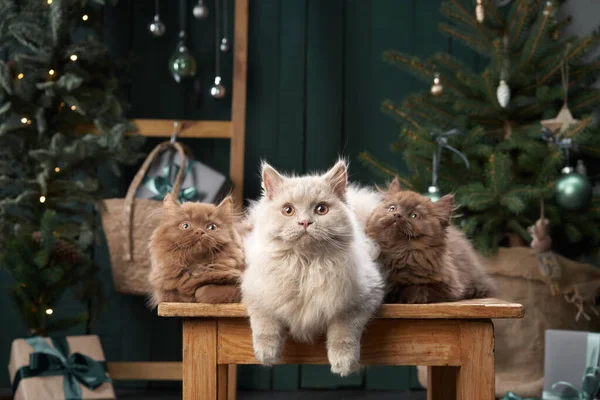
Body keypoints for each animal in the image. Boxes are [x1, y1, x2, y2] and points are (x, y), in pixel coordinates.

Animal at [240, 160, 384, 378]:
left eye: (321, 209)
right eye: (288, 210)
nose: (305, 222)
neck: (306, 267)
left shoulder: (360, 299)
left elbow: (343, 333)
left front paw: (343, 363)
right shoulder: (256, 291)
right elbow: (265, 324)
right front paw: (267, 355)